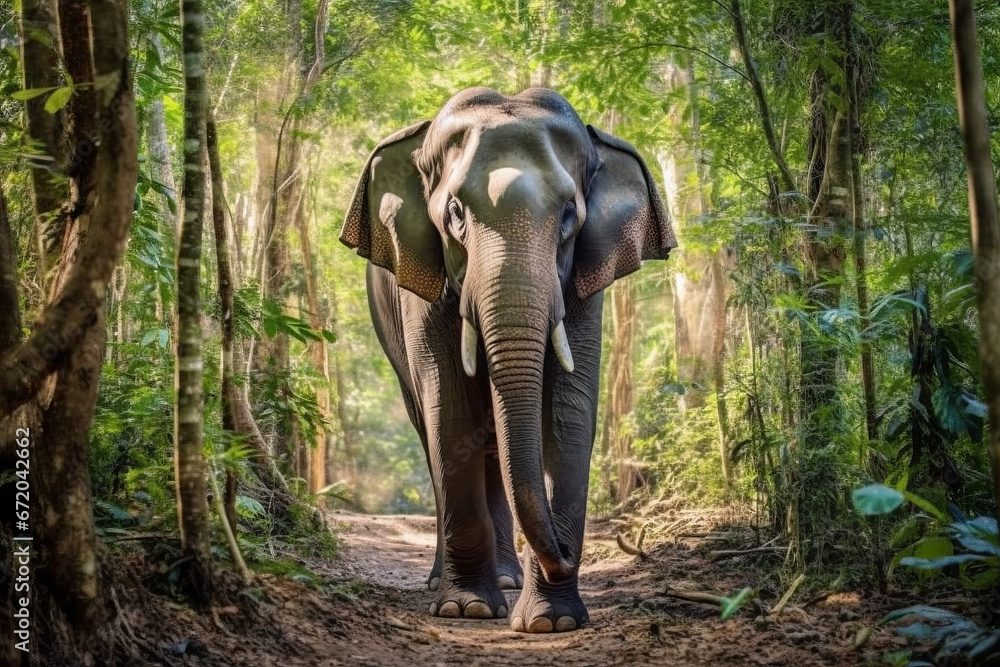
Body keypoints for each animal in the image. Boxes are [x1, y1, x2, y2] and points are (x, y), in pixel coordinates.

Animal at [340, 87, 675, 633]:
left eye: (569, 213)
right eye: (455, 211)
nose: (565, 550)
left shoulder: (582, 281)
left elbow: (567, 410)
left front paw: (552, 622)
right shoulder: (423, 279)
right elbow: (449, 409)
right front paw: (466, 609)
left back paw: (507, 580)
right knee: (432, 429)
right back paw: (451, 585)